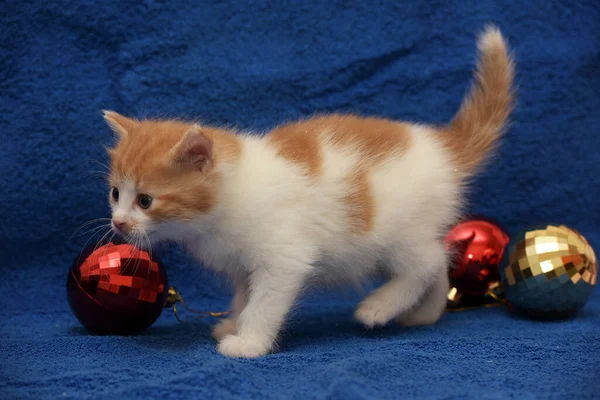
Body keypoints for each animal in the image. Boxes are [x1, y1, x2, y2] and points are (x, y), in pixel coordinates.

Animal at [104, 26, 516, 358]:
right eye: (115, 194)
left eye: (146, 201)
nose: (118, 223)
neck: (230, 196)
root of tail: (440, 146)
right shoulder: (244, 264)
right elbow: (244, 295)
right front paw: (234, 323)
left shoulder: (285, 257)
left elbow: (264, 303)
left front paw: (248, 343)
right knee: (440, 264)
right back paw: (424, 315)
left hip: (401, 231)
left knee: (428, 262)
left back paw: (379, 307)